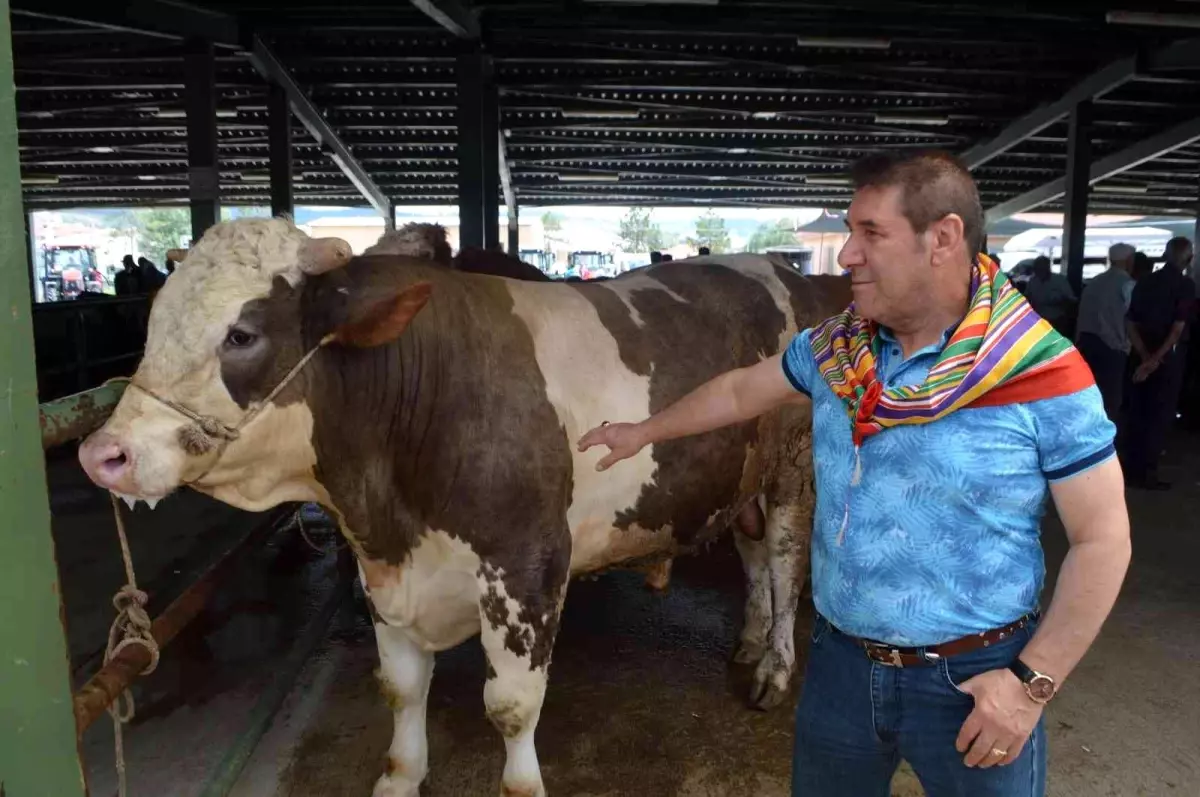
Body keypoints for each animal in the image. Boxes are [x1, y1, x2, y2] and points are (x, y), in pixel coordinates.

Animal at [77, 218, 844, 797]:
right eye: (153, 324)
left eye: (242, 335)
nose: (102, 453)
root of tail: (788, 273)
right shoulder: (383, 568)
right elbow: (401, 688)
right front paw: (399, 777)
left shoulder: (528, 567)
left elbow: (510, 706)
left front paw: (521, 786)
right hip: (737, 479)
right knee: (752, 556)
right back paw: (749, 638)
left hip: (793, 471)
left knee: (784, 562)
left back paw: (774, 667)